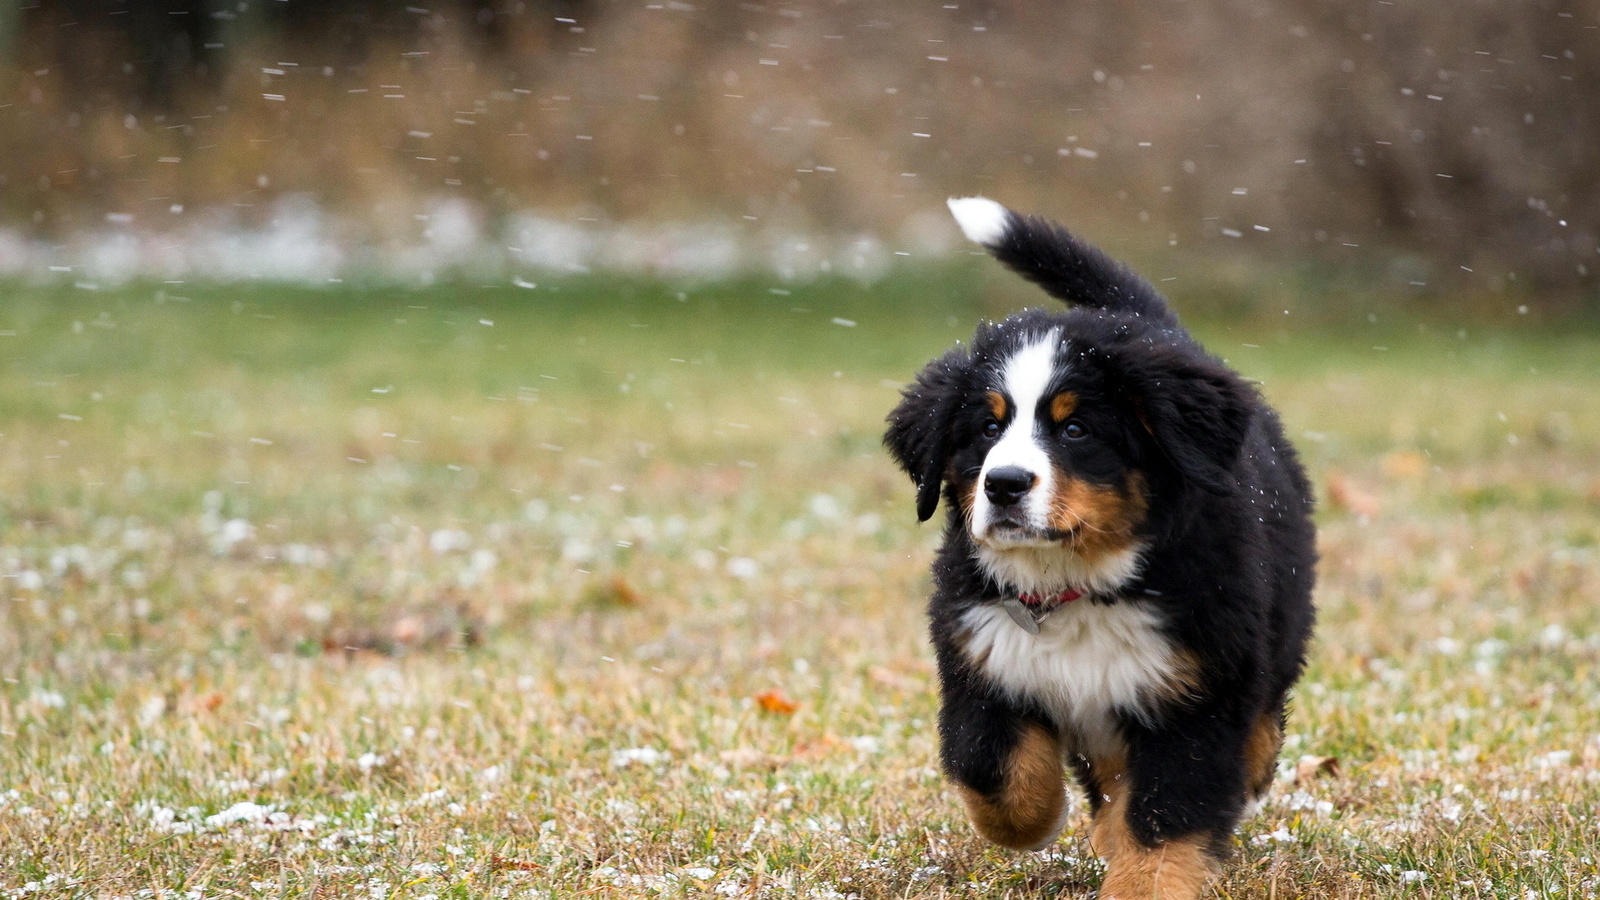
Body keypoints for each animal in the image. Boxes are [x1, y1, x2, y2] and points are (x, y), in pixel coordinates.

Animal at [889, 197, 1312, 896]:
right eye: (987, 428)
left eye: (1076, 429)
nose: (1004, 484)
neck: (1075, 584)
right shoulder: (981, 658)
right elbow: (993, 769)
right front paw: (1037, 821)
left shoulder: (1194, 692)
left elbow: (1165, 818)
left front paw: (1141, 882)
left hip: (1275, 626)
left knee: (1262, 715)